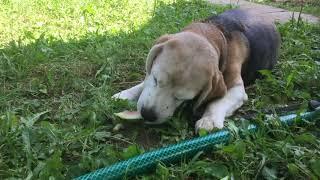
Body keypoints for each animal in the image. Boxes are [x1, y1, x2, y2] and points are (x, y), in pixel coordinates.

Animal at [112, 8, 280, 131]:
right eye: (155, 79)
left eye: (181, 98)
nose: (147, 114)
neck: (214, 31)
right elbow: (143, 82)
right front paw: (125, 94)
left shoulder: (237, 89)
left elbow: (217, 102)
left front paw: (209, 119)